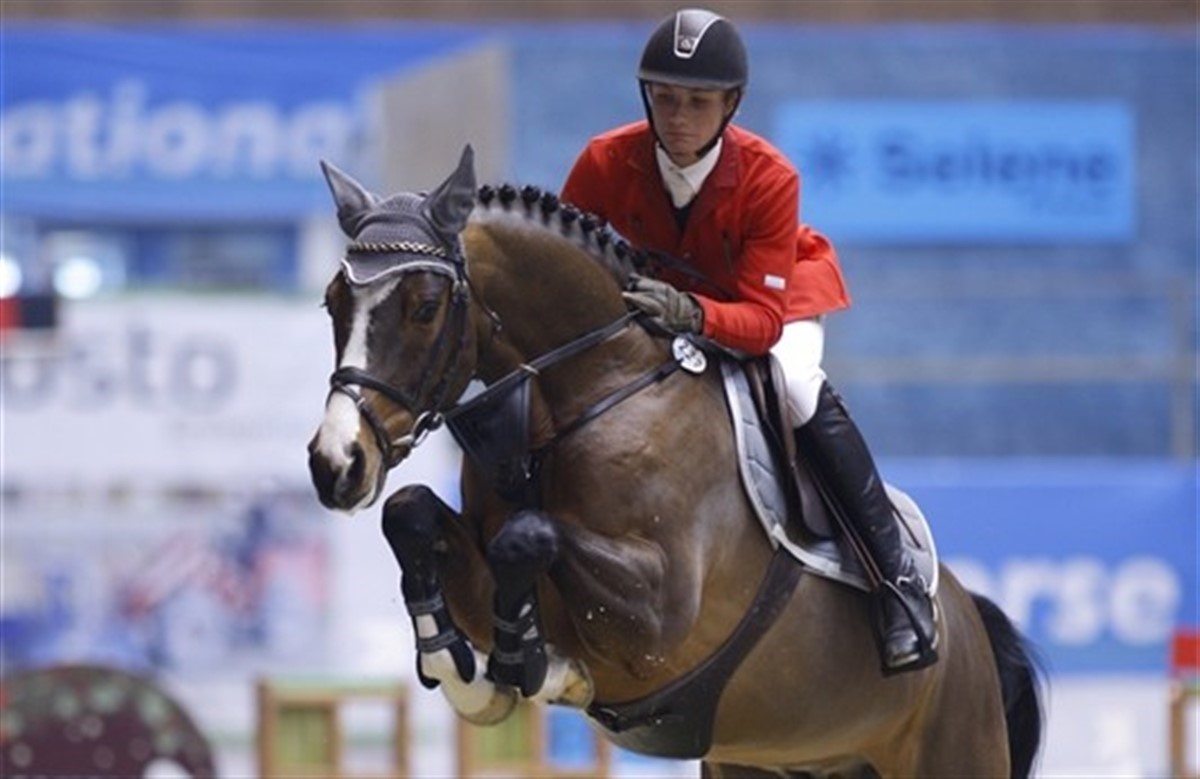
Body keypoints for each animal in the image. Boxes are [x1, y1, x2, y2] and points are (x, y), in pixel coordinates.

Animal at [306, 146, 1044, 778]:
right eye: (332, 302)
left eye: (426, 308)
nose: (336, 463)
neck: (583, 393)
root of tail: (972, 622)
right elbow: (411, 513)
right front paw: (461, 669)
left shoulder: (660, 616)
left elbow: (530, 533)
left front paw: (538, 665)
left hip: (952, 747)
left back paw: (906, 619)